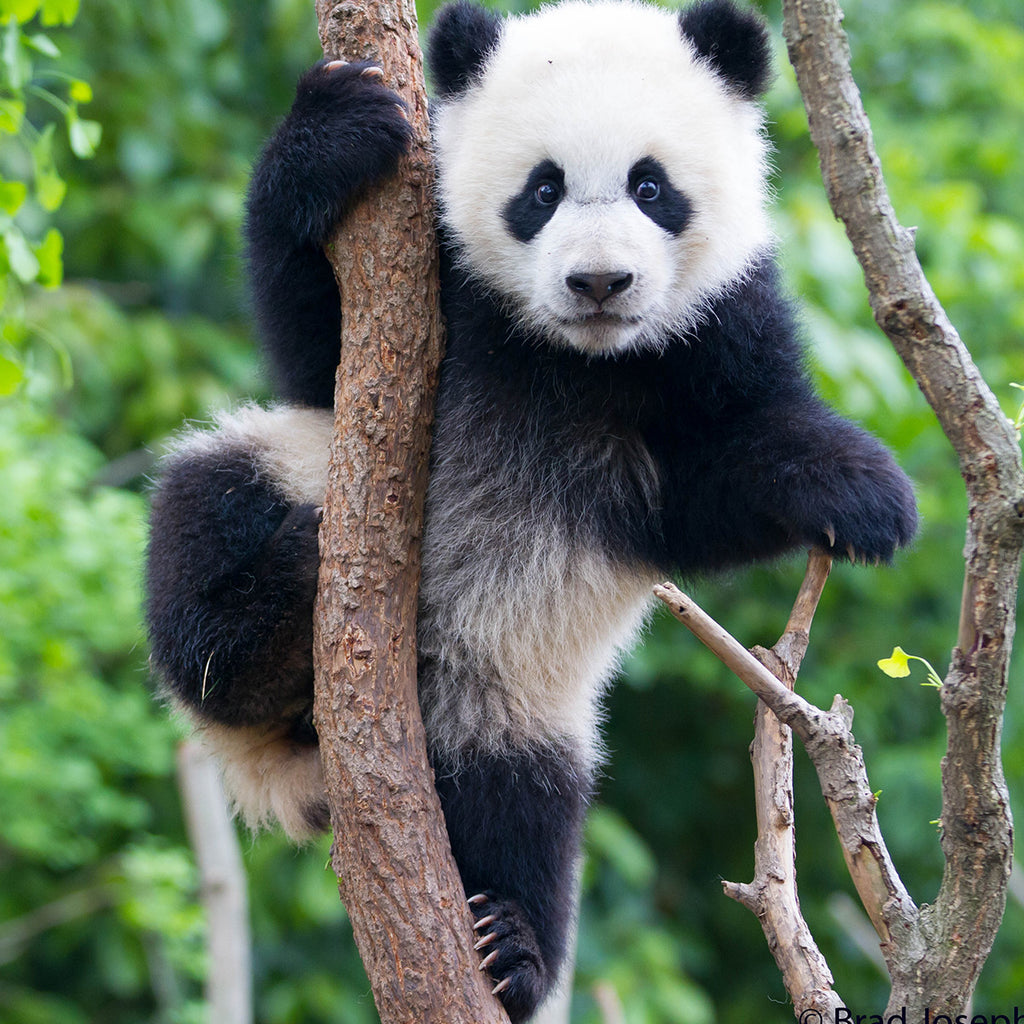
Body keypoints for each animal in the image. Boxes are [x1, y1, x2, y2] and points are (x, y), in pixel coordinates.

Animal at [145, 1, 918, 1020]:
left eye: (650, 187)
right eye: (541, 191)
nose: (599, 283)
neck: (572, 358)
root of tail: (293, 752)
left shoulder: (716, 330)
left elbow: (713, 487)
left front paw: (865, 494)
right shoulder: (432, 291)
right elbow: (313, 347)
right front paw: (336, 128)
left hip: (511, 697)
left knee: (523, 805)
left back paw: (509, 946)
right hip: (280, 472)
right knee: (202, 526)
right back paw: (267, 618)